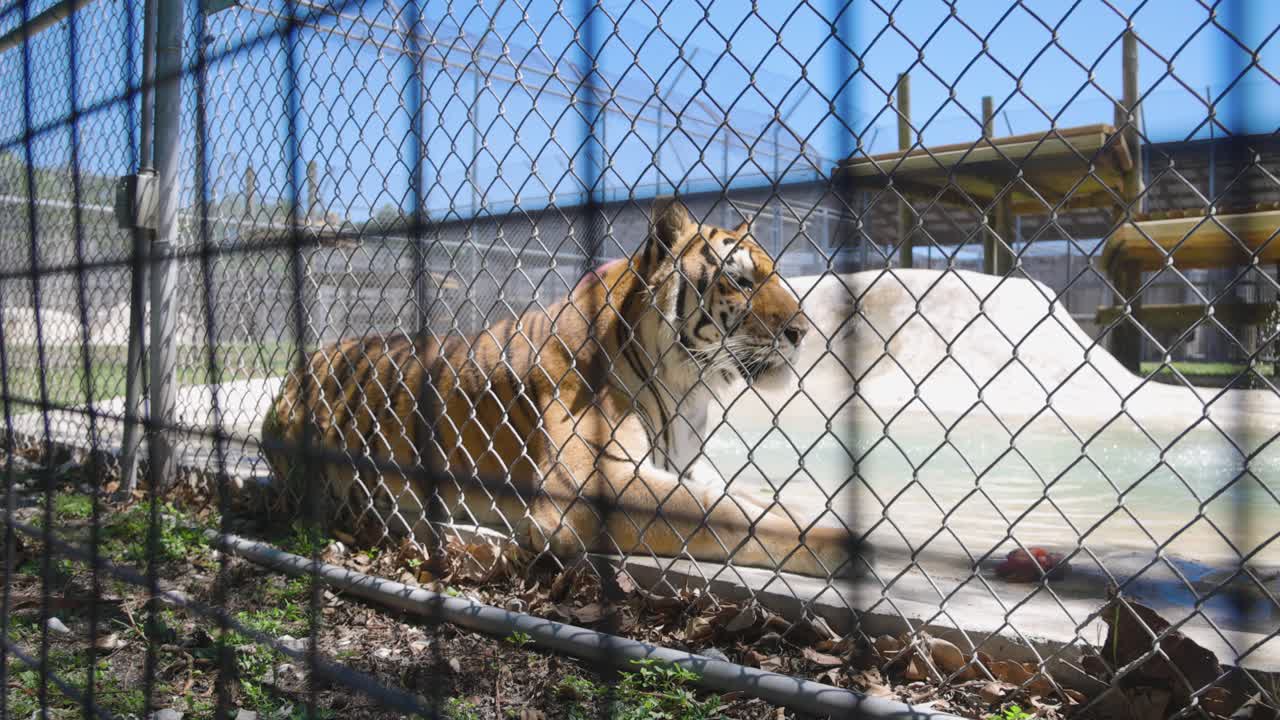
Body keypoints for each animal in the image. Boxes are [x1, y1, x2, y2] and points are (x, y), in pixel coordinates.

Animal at [260, 198, 860, 579]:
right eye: (739, 279)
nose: (803, 330)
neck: (688, 385)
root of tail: (292, 373)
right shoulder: (590, 481)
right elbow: (732, 515)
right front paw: (852, 548)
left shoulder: (681, 467)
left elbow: (756, 499)